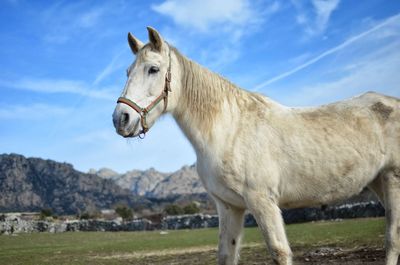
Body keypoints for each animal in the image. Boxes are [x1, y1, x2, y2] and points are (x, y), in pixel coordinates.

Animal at [112, 26, 400, 264]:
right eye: (127, 72)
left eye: (153, 69)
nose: (120, 119)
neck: (230, 130)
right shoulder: (229, 207)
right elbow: (226, 254)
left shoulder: (263, 202)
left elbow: (279, 252)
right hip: (377, 181)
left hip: (392, 179)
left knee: (393, 238)